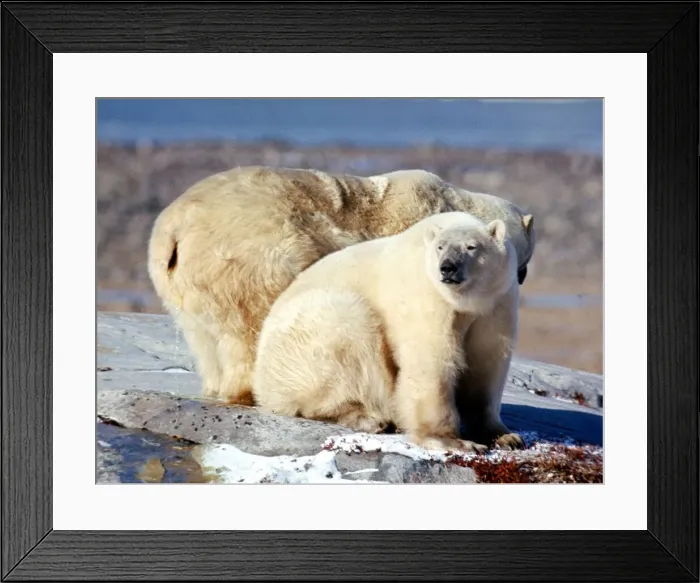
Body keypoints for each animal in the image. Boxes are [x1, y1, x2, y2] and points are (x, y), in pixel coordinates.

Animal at [147, 166, 536, 406]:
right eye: (527, 253)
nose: (522, 276)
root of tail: (173, 230)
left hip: (181, 284)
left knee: (203, 336)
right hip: (252, 259)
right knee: (255, 322)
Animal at [252, 211, 523, 453]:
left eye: (471, 247)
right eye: (440, 247)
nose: (448, 268)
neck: (465, 303)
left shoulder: (497, 304)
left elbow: (487, 364)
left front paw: (505, 436)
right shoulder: (426, 296)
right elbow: (430, 363)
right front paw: (453, 441)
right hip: (307, 336)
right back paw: (369, 418)